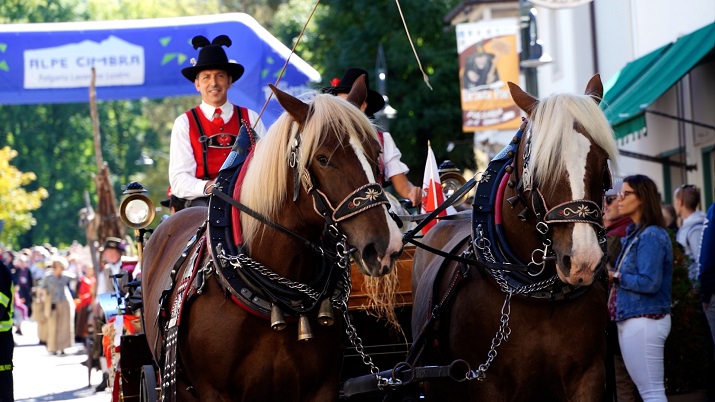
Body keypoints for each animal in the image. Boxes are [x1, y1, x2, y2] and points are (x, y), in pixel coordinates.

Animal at [412, 74, 620, 398]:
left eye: (602, 163)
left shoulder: (589, 376)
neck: (541, 300)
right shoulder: (486, 383)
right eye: (540, 165)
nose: (584, 261)